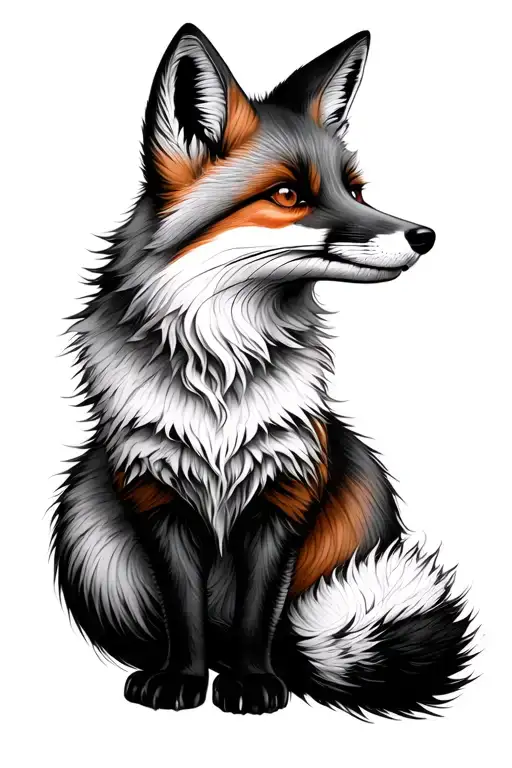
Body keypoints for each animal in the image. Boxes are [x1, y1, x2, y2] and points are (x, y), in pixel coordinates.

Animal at [52, 23, 475, 718]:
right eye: (288, 195)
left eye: (355, 190)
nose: (425, 235)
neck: (224, 372)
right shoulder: (154, 494)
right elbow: (184, 609)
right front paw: (182, 678)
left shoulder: (287, 490)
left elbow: (259, 614)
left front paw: (252, 682)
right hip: (85, 519)